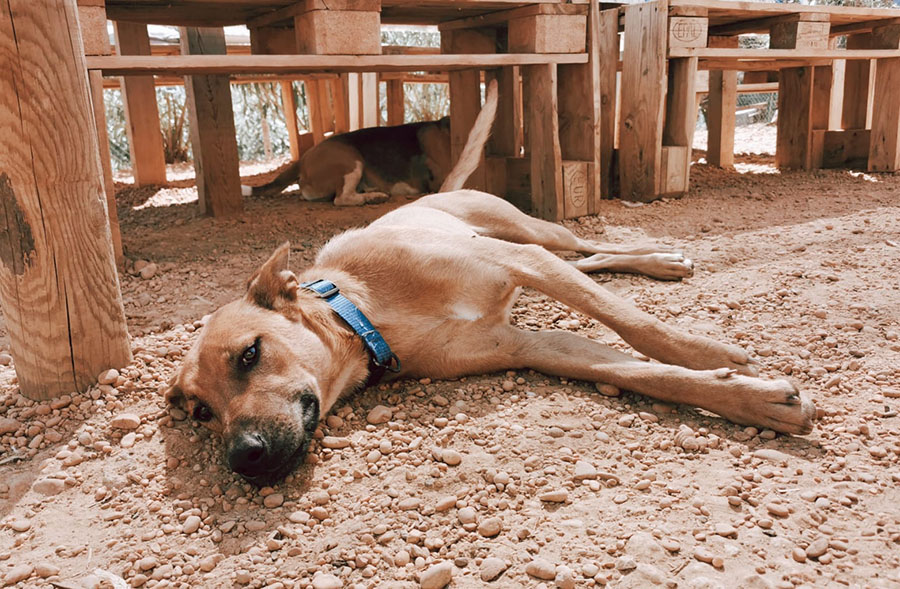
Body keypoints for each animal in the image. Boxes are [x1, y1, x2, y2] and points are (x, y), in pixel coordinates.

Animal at [168, 84, 816, 486]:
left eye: (250, 354)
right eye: (200, 412)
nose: (244, 458)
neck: (366, 313)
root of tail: (436, 192)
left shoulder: (522, 263)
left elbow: (636, 326)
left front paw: (713, 354)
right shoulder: (529, 345)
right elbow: (636, 371)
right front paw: (751, 399)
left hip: (533, 233)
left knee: (589, 249)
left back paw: (659, 259)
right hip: (537, 251)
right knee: (592, 263)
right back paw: (659, 262)